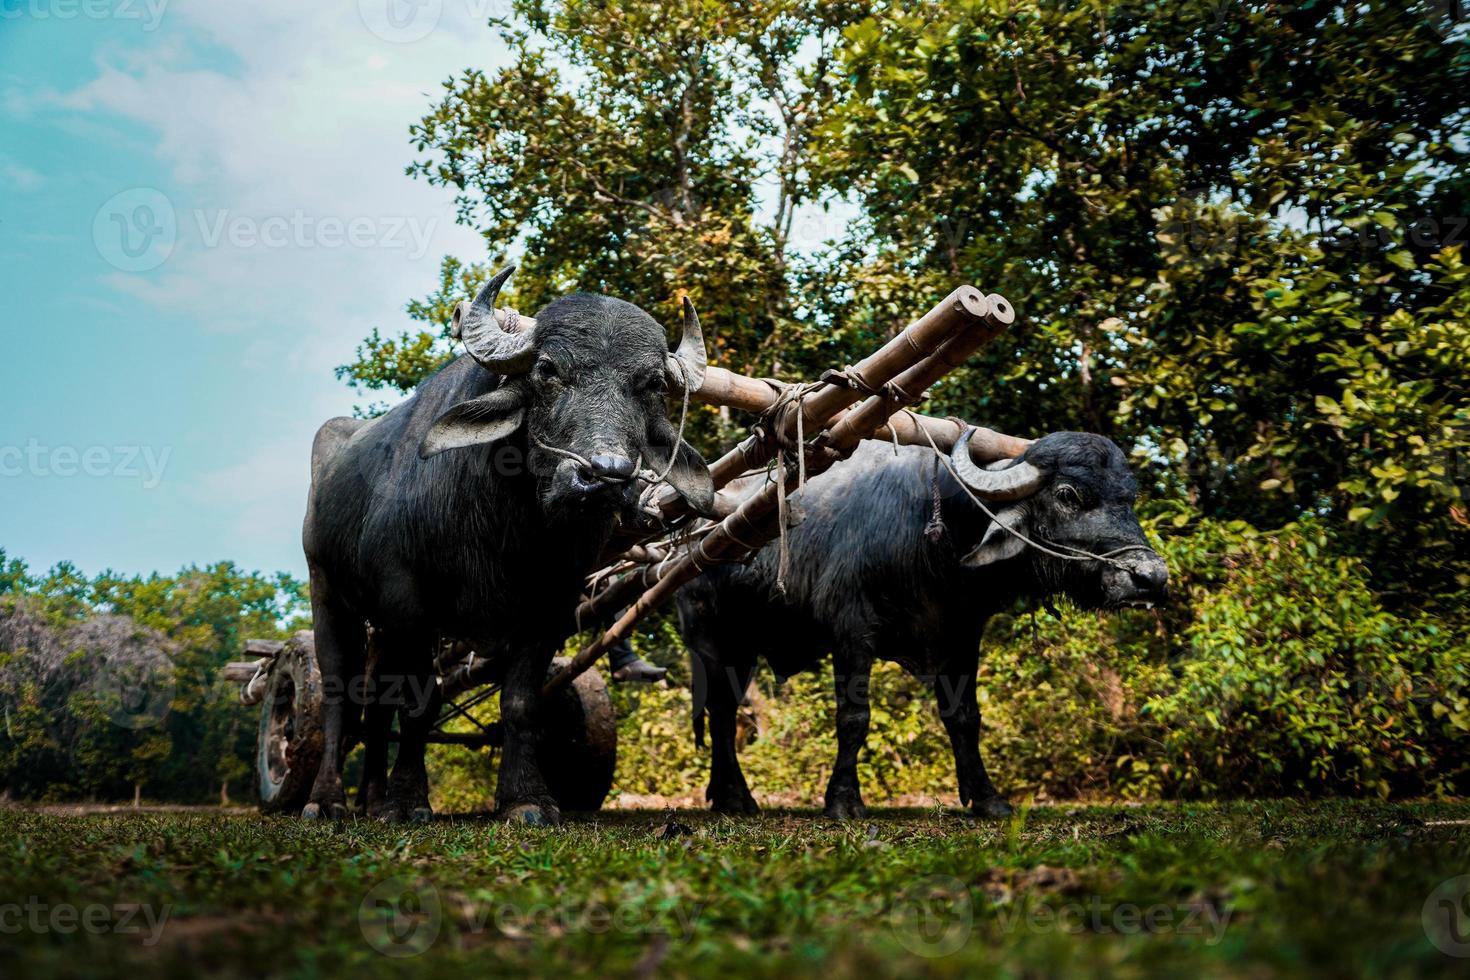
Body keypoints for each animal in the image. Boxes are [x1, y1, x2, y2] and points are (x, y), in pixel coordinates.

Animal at [301, 264, 714, 822]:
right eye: (547, 370)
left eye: (650, 385)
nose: (605, 477)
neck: (502, 526)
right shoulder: (408, 603)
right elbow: (419, 704)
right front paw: (407, 802)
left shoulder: (551, 607)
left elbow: (520, 702)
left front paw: (525, 798)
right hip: (328, 594)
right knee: (338, 695)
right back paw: (327, 800)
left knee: (374, 709)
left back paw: (370, 797)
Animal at [676, 429, 1170, 822]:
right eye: (1069, 495)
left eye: (1128, 498)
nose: (1150, 577)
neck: (934, 543)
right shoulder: (851, 631)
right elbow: (854, 716)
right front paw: (843, 801)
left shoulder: (963, 636)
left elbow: (965, 718)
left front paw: (987, 798)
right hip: (711, 644)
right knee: (722, 715)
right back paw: (736, 798)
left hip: (743, 650)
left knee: (723, 713)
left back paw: (727, 796)